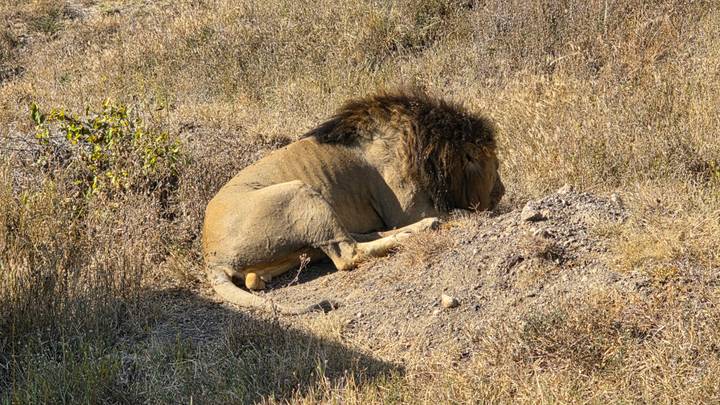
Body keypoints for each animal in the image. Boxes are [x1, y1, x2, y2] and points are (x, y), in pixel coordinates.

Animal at [202, 90, 504, 314]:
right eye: (496, 165)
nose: (501, 191)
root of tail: (210, 258)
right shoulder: (407, 210)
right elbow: (459, 213)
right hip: (299, 192)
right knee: (349, 254)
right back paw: (420, 229)